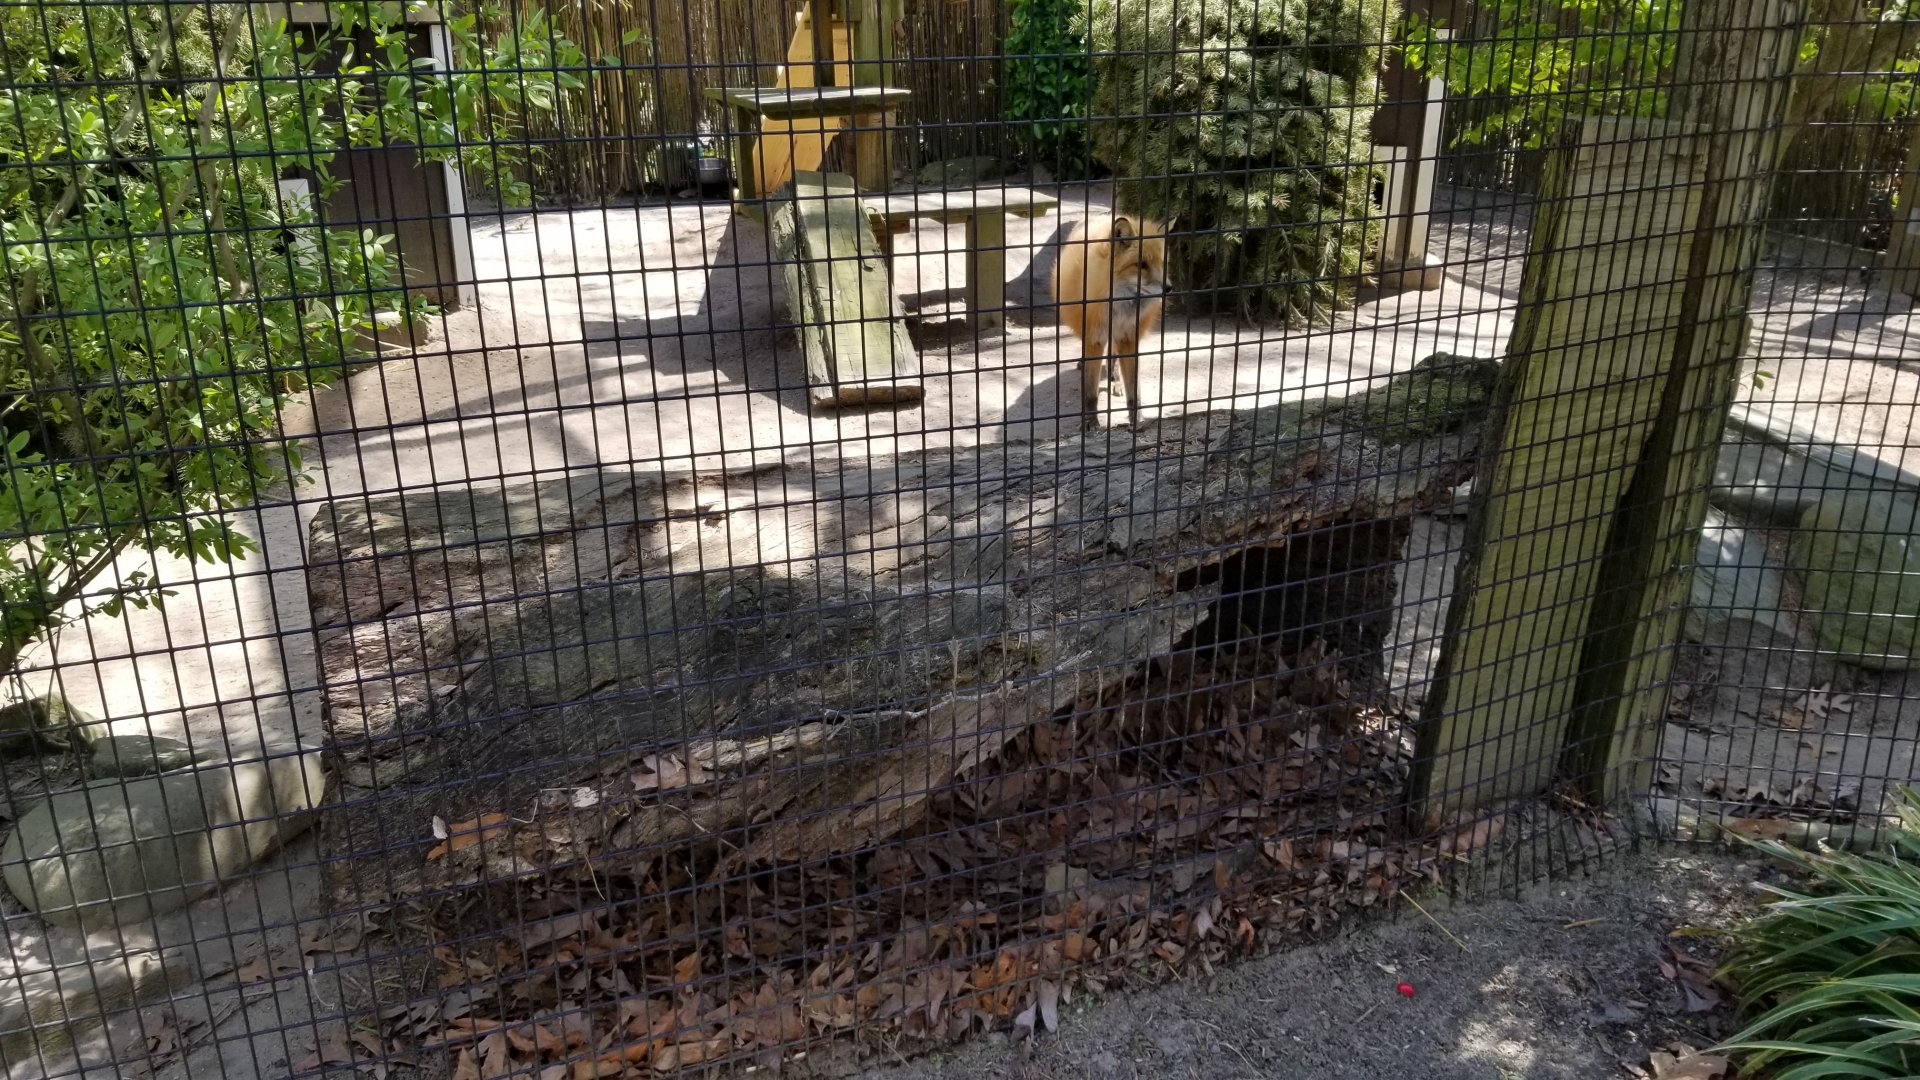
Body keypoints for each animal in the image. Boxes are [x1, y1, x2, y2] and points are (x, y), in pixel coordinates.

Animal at [1051, 212, 1170, 429]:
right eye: (1141, 265)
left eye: (1162, 263)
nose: (1169, 288)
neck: (1119, 310)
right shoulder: (1094, 339)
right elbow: (1090, 393)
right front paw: (1090, 422)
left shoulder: (1129, 338)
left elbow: (1134, 392)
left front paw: (1136, 419)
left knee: (1113, 359)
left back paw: (1116, 381)